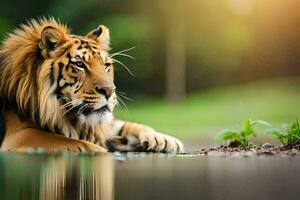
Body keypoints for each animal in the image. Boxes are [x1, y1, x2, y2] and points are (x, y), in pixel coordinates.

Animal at [0, 18, 183, 153]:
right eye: (80, 64)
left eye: (106, 65)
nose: (109, 90)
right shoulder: (19, 135)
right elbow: (69, 141)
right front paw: (99, 150)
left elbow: (126, 125)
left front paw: (163, 139)